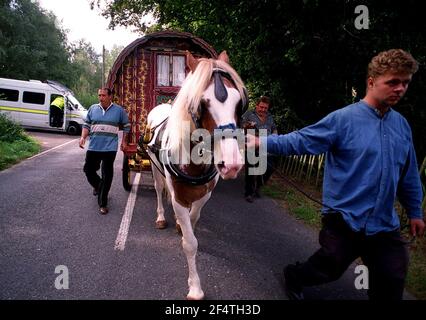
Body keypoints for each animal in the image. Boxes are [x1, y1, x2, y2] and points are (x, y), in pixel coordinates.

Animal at [144, 50, 248, 300]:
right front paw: (195, 287)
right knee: (159, 190)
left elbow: (193, 218)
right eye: (201, 103)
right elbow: (190, 243)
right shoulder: (178, 196)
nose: (231, 163)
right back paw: (161, 216)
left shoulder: (205, 193)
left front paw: (183, 226)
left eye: (238, 102)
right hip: (153, 165)